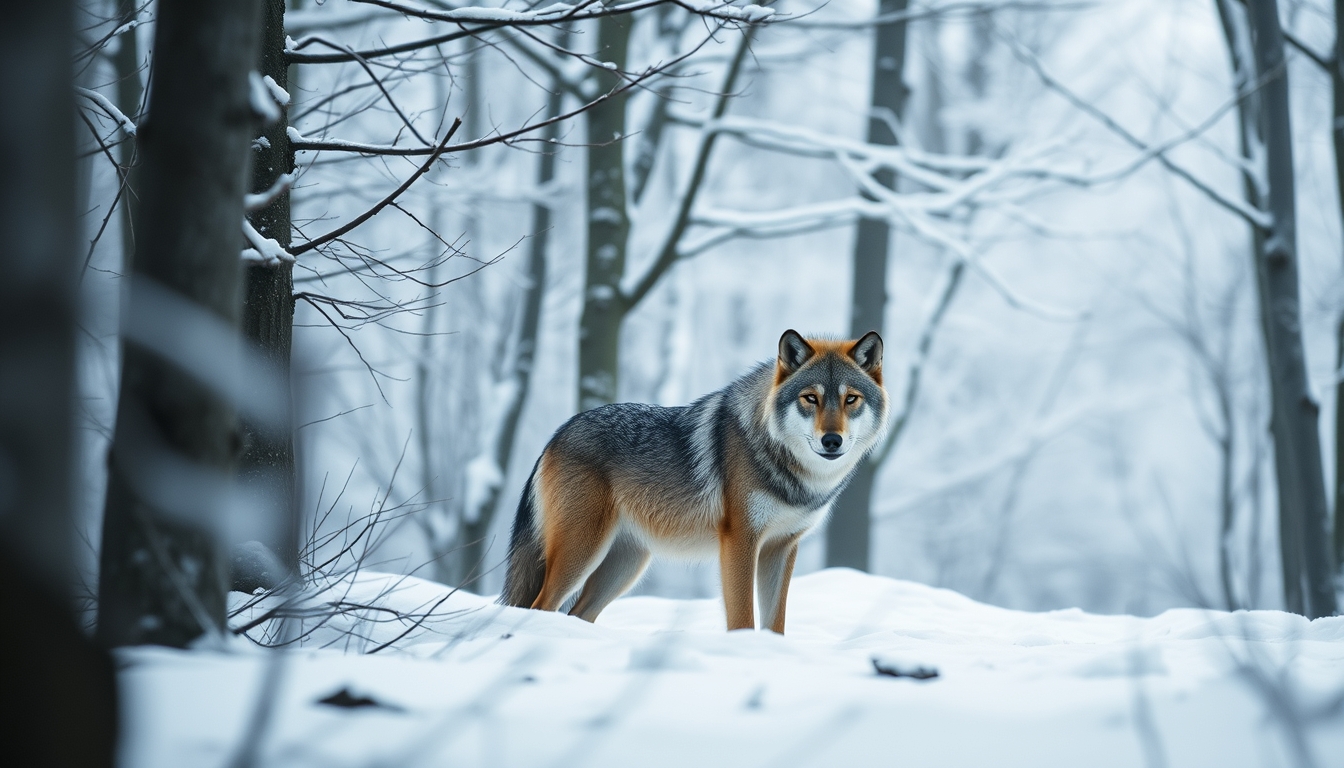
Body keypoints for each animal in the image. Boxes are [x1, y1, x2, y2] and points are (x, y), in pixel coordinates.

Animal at [500, 329, 888, 633]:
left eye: (850, 399)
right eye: (811, 398)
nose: (832, 441)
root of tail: (557, 434)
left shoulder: (782, 547)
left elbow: (775, 624)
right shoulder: (740, 541)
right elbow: (743, 618)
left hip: (624, 567)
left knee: (577, 614)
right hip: (582, 553)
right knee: (539, 606)